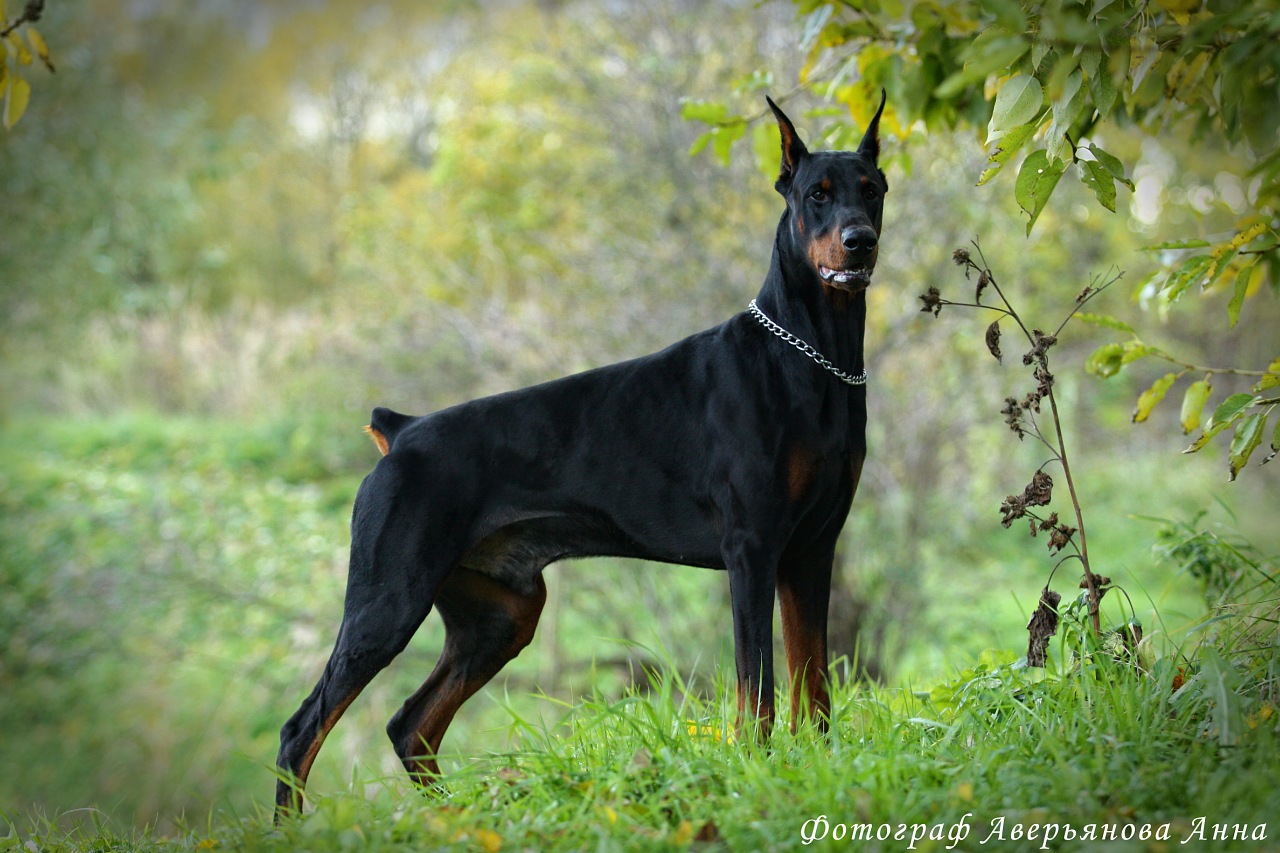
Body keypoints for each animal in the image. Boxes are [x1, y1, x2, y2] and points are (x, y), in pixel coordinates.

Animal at [275, 91, 885, 809]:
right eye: (818, 194)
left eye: (871, 189)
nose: (860, 240)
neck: (812, 358)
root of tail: (401, 431)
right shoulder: (753, 550)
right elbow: (757, 689)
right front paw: (758, 773)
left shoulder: (812, 550)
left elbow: (813, 684)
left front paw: (818, 767)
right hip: (388, 601)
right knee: (301, 731)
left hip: (501, 615)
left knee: (410, 725)